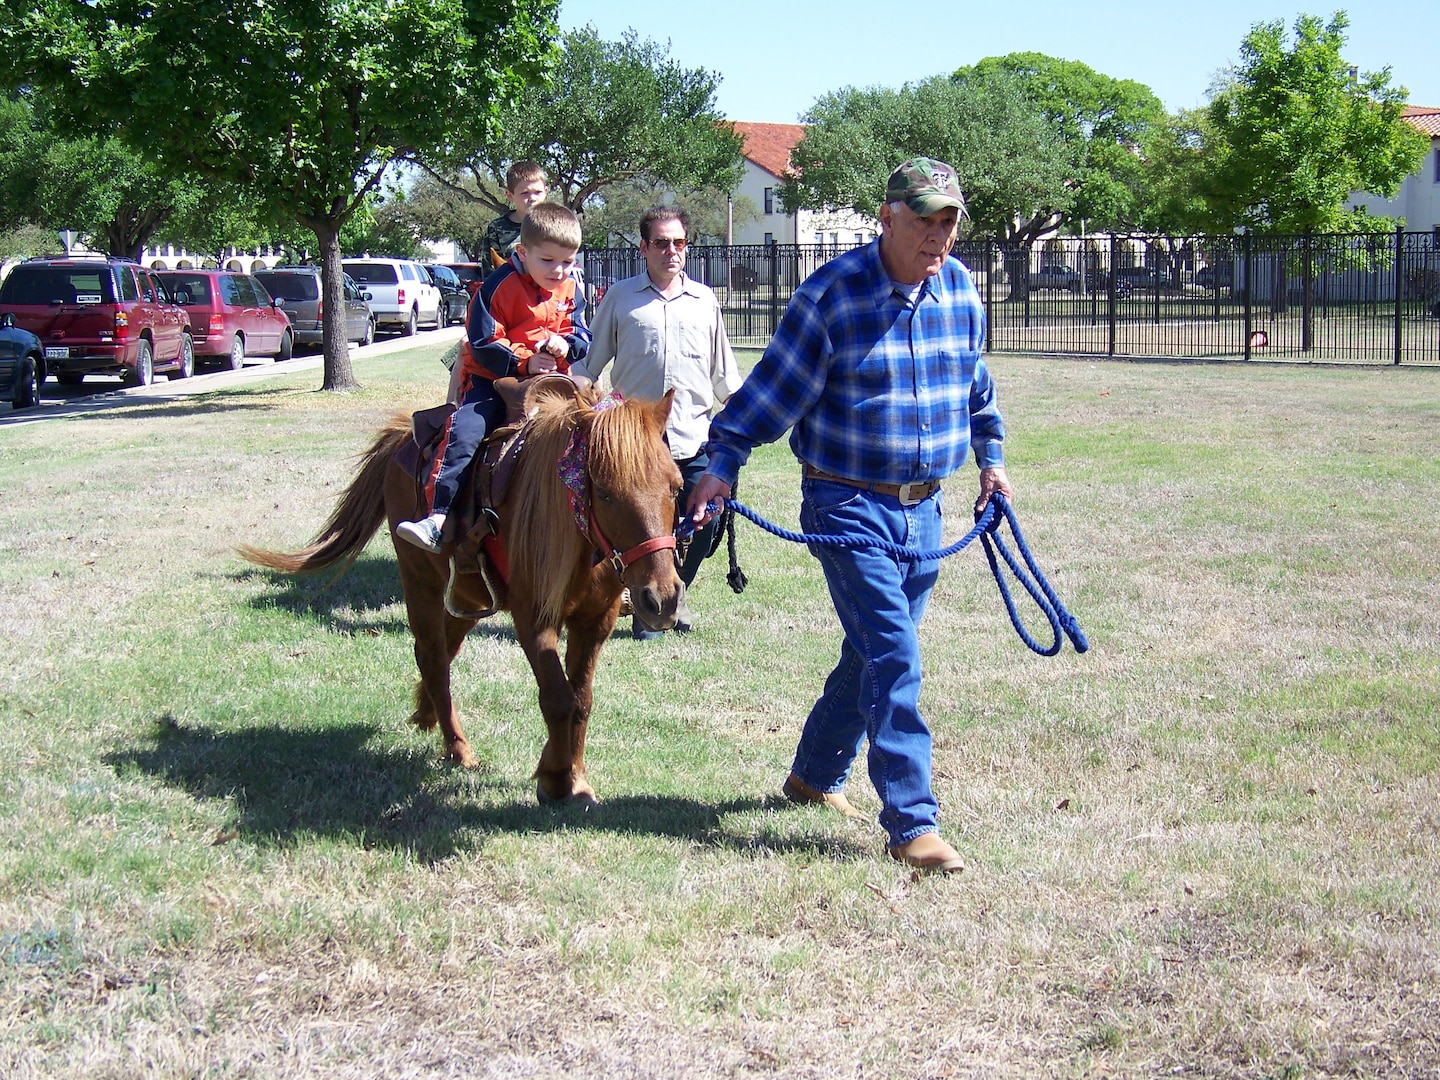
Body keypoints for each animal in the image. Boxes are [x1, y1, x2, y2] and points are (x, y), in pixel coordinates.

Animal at [237, 377, 685, 806]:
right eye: (604, 492)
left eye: (676, 487)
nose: (662, 599)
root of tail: (403, 437)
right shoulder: (533, 618)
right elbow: (559, 699)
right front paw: (556, 781)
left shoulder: (595, 621)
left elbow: (581, 701)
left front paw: (575, 779)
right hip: (419, 580)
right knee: (434, 656)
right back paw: (457, 748)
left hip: (468, 596)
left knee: (439, 653)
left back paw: (427, 713)